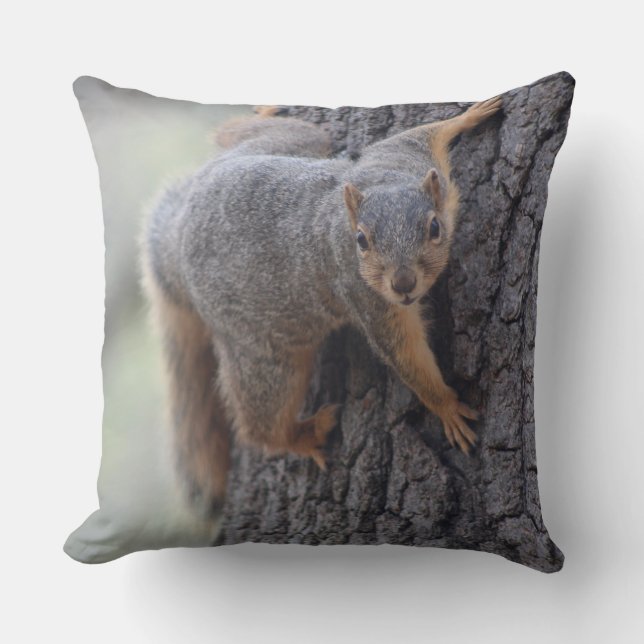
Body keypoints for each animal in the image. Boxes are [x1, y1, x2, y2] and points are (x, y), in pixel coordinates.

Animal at [142, 96, 502, 515]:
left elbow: (423, 133)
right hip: (265, 355)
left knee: (263, 134)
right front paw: (446, 406)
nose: (403, 285)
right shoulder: (366, 297)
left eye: (434, 228)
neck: (382, 184)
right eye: (361, 240)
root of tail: (179, 235)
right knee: (260, 423)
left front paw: (470, 115)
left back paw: (262, 114)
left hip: (291, 144)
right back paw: (303, 435)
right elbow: (405, 355)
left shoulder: (402, 156)